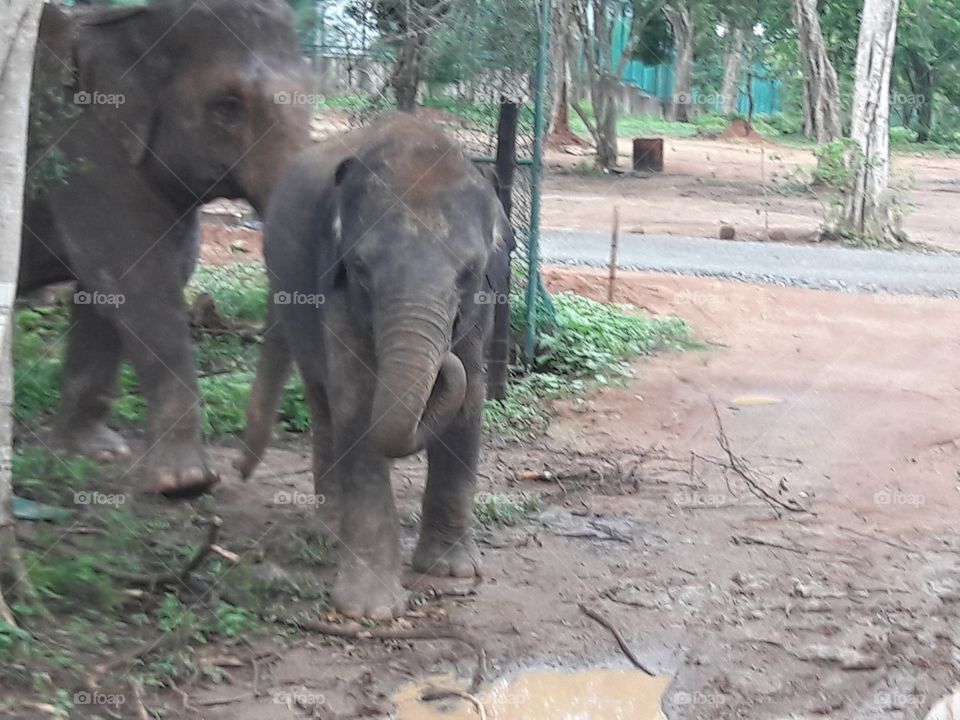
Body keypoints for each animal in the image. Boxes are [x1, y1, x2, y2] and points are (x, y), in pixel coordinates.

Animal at [17, 0, 310, 495]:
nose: (241, 468)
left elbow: (110, 290)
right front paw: (185, 483)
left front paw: (93, 452)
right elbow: (139, 284)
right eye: (228, 107)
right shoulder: (85, 154)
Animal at [235, 114, 514, 619]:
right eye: (361, 268)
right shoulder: (333, 283)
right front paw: (370, 611)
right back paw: (328, 531)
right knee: (324, 400)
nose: (236, 470)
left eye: (469, 272)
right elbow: (357, 399)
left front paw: (453, 573)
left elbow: (471, 398)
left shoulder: (485, 302)